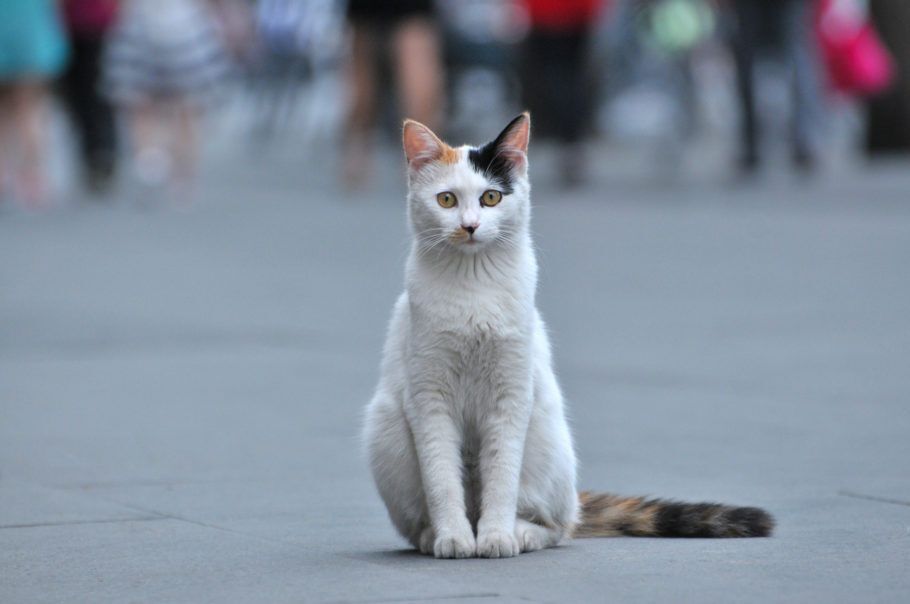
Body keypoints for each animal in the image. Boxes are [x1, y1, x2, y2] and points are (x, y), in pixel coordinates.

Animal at [364, 112, 776, 556]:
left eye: (491, 198)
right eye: (446, 200)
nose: (469, 226)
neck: (474, 286)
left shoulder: (512, 394)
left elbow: (502, 477)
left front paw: (495, 537)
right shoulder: (429, 399)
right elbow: (441, 478)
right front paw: (454, 538)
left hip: (546, 442)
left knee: (559, 525)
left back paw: (521, 533)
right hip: (387, 430)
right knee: (419, 520)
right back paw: (432, 536)